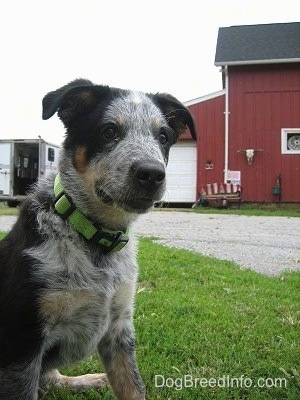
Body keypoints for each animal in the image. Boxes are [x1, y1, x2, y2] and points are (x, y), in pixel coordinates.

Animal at [0, 79, 196, 400]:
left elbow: (133, 387)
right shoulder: (23, 340)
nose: (152, 173)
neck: (96, 238)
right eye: (109, 132)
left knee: (51, 378)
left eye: (163, 136)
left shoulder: (120, 328)